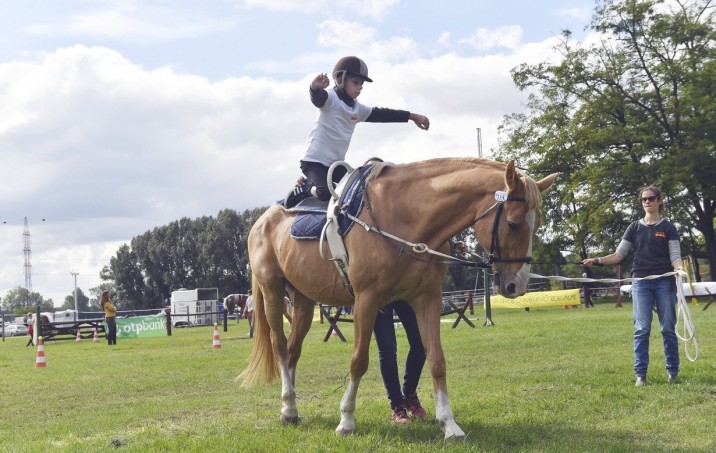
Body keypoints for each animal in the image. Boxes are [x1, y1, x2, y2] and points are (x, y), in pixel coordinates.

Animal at [241, 158, 560, 438]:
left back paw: (291, 407)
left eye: (538, 224)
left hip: (304, 301)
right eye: (513, 223)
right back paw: (288, 407)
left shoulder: (427, 299)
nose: (517, 285)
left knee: (293, 351)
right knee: (280, 346)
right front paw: (346, 420)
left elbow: (436, 360)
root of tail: (262, 220)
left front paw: (449, 424)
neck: (405, 218)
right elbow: (359, 360)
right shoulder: (367, 300)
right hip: (272, 292)